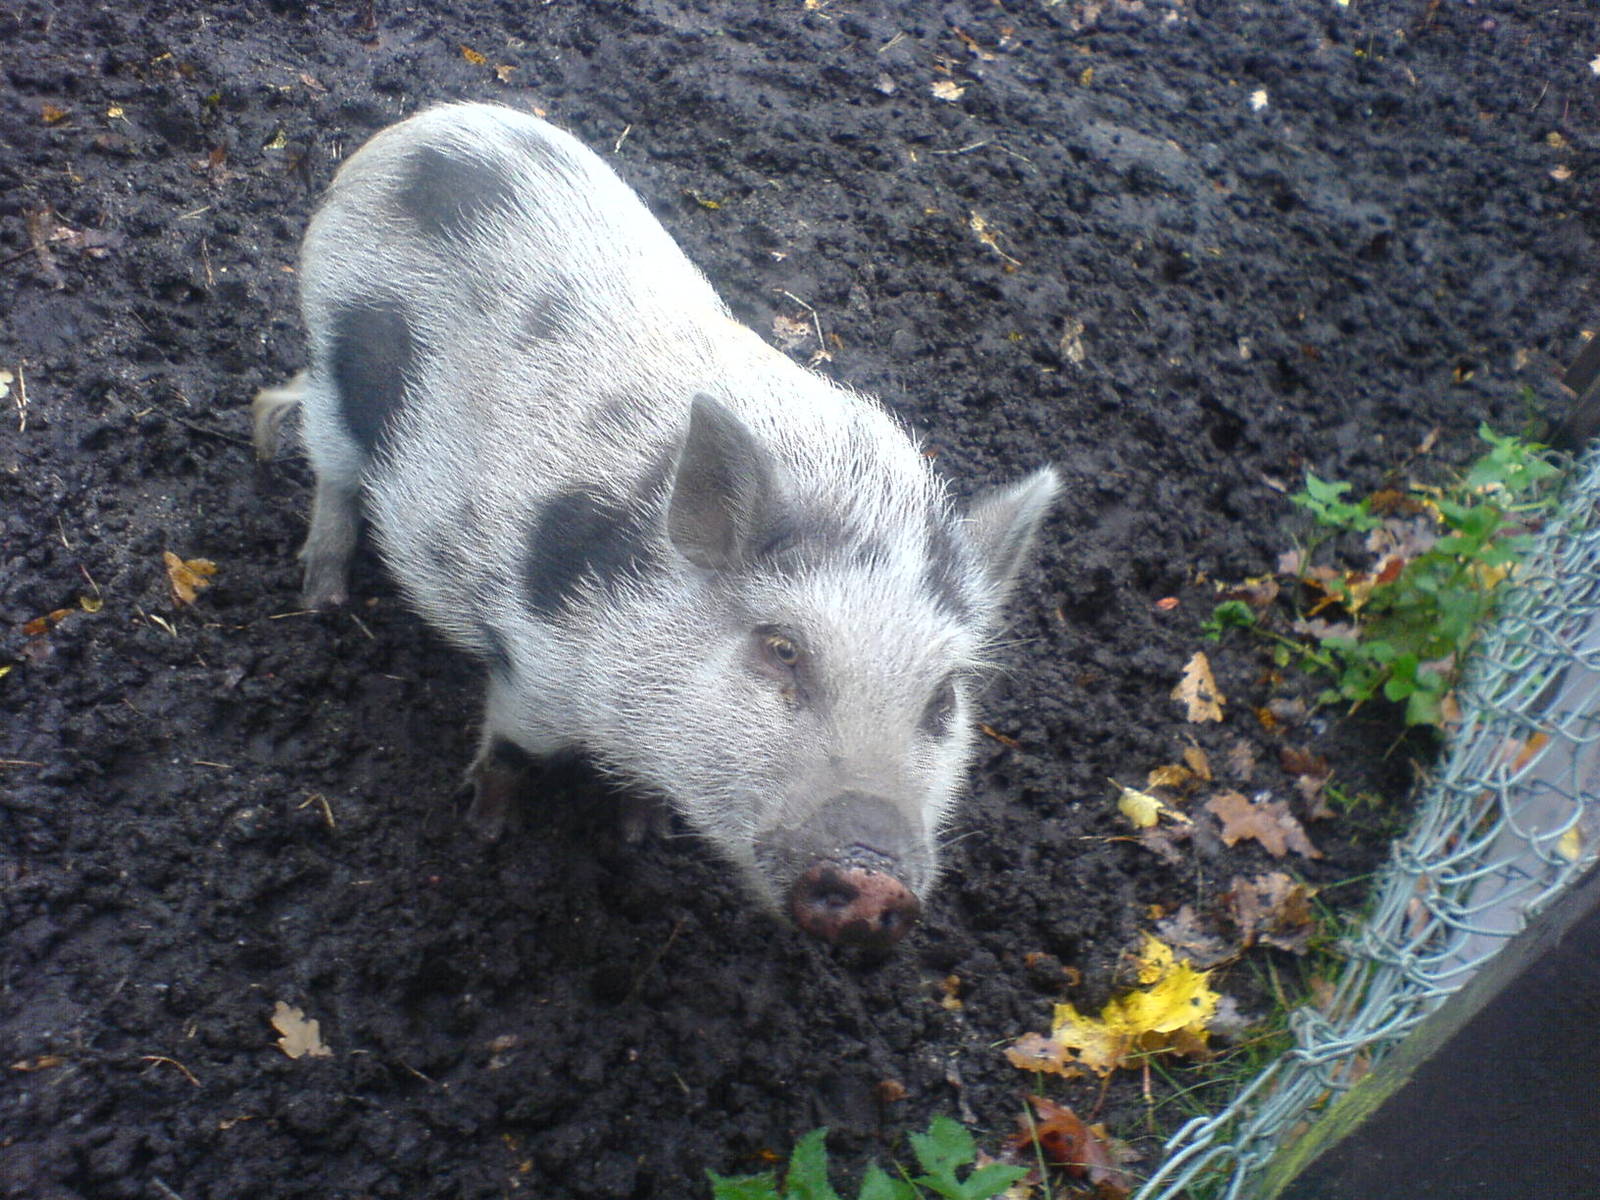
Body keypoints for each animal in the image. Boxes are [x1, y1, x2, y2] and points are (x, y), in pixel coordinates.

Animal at [254, 102, 1059, 950]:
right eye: (781, 649)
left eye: (943, 699)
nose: (875, 879)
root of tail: (409, 133)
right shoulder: (531, 669)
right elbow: (511, 750)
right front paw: (485, 831)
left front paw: (640, 835)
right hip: (333, 361)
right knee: (333, 473)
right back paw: (324, 603)